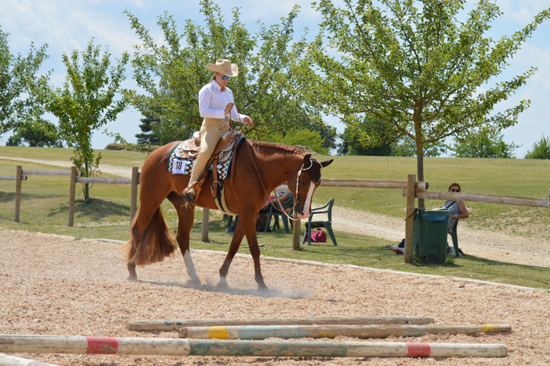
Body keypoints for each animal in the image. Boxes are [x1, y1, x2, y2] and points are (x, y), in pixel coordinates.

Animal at [124, 139, 332, 290]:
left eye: (318, 184)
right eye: (303, 181)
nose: (304, 212)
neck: (257, 168)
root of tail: (155, 153)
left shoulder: (248, 214)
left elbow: (234, 246)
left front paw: (222, 279)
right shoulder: (247, 213)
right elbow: (254, 248)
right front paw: (261, 283)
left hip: (184, 206)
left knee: (182, 237)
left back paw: (194, 277)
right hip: (151, 198)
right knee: (138, 229)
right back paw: (131, 271)